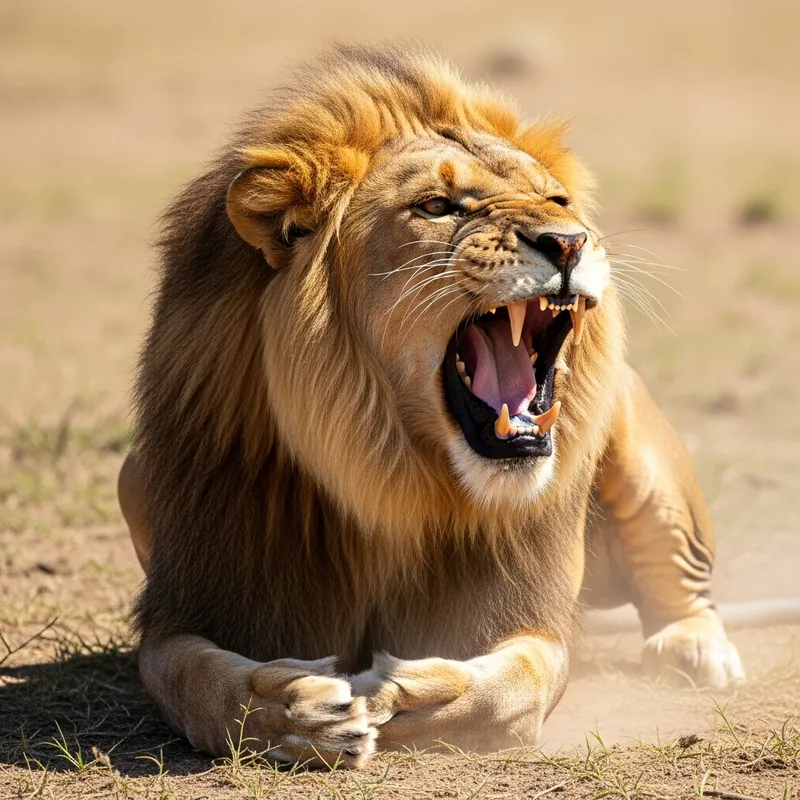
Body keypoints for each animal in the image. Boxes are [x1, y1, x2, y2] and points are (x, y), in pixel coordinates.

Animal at [118, 44, 746, 766]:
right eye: (439, 206)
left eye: (556, 199)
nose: (569, 241)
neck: (394, 477)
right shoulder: (186, 603)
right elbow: (196, 680)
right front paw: (292, 711)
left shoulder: (536, 615)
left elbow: (516, 682)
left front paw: (405, 697)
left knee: (681, 578)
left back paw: (695, 649)